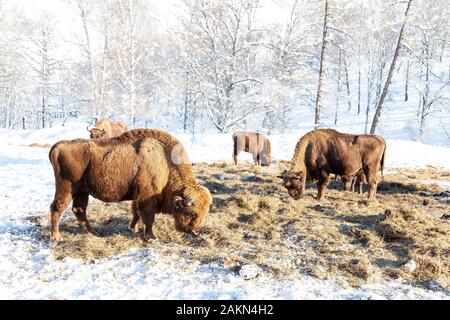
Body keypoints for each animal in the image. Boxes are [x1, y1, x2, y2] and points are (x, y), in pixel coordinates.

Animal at [48, 129, 214, 241]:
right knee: (57, 207)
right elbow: (148, 217)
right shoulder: (147, 198)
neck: (165, 161)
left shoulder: (137, 196)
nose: (195, 231)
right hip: (67, 188)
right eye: (190, 213)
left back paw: (93, 233)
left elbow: (135, 213)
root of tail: (58, 147)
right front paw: (151, 237)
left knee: (79, 210)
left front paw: (133, 228)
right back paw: (56, 237)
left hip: (82, 191)